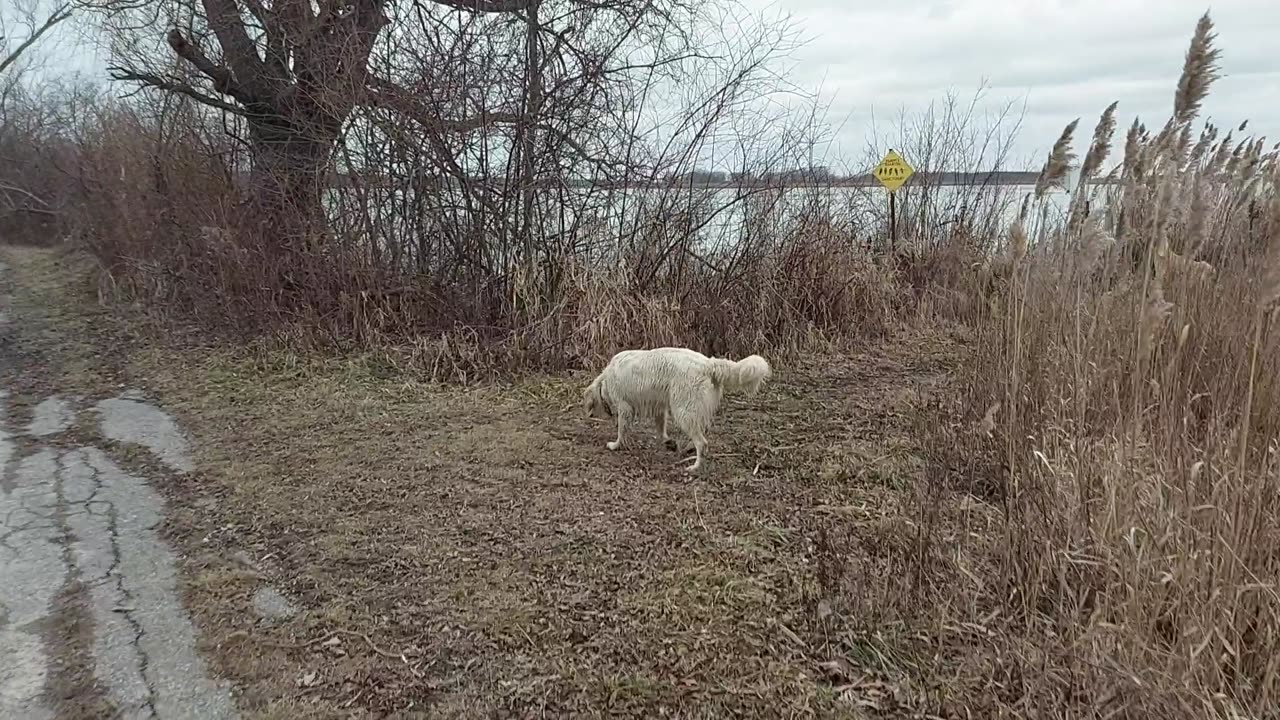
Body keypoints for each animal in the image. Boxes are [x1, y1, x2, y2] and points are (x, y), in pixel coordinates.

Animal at [583, 345, 768, 471]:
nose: (589, 416)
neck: (605, 380)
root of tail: (708, 363)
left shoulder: (625, 408)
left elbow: (621, 431)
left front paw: (615, 445)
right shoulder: (659, 408)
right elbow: (661, 430)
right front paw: (668, 442)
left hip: (683, 412)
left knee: (702, 443)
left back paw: (694, 467)